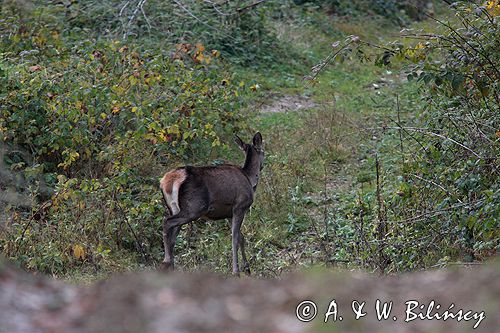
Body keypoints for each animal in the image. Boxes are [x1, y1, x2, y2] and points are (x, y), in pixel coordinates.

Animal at [160, 132, 264, 274]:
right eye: (263, 151)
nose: (262, 166)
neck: (249, 178)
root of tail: (167, 181)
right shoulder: (240, 206)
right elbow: (234, 238)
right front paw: (236, 271)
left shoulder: (228, 213)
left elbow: (241, 238)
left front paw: (247, 268)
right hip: (193, 208)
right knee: (167, 222)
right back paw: (166, 261)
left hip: (175, 208)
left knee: (172, 236)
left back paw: (170, 265)